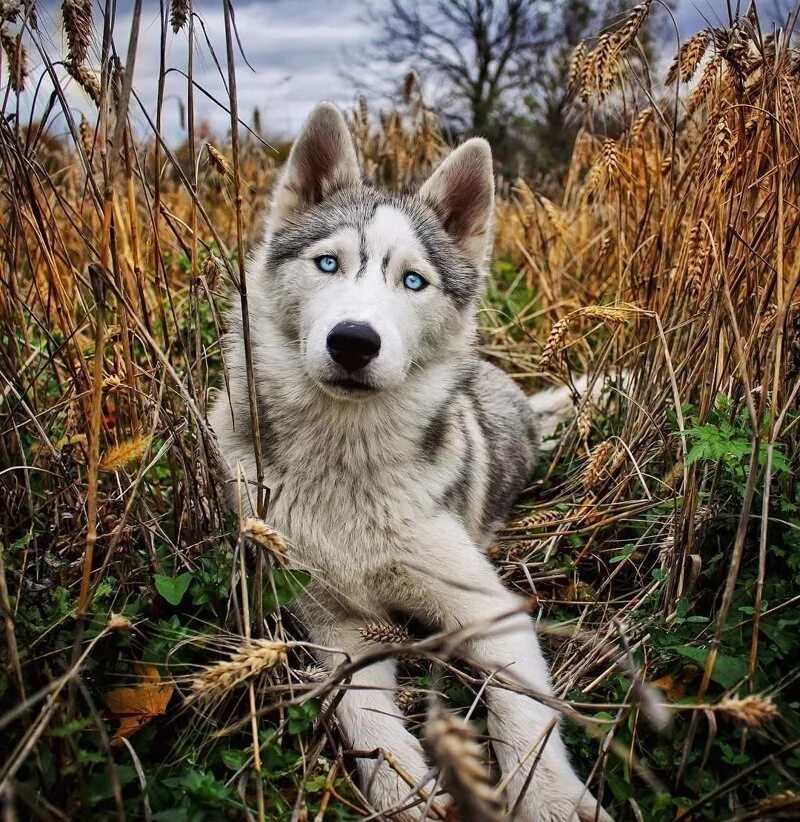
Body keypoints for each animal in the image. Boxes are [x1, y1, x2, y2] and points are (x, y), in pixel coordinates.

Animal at [209, 104, 608, 822]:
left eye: (414, 281)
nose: (353, 341)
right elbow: (361, 710)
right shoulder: (337, 623)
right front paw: (403, 789)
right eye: (328, 263)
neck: (344, 464)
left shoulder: (490, 611)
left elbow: (523, 716)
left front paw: (551, 799)